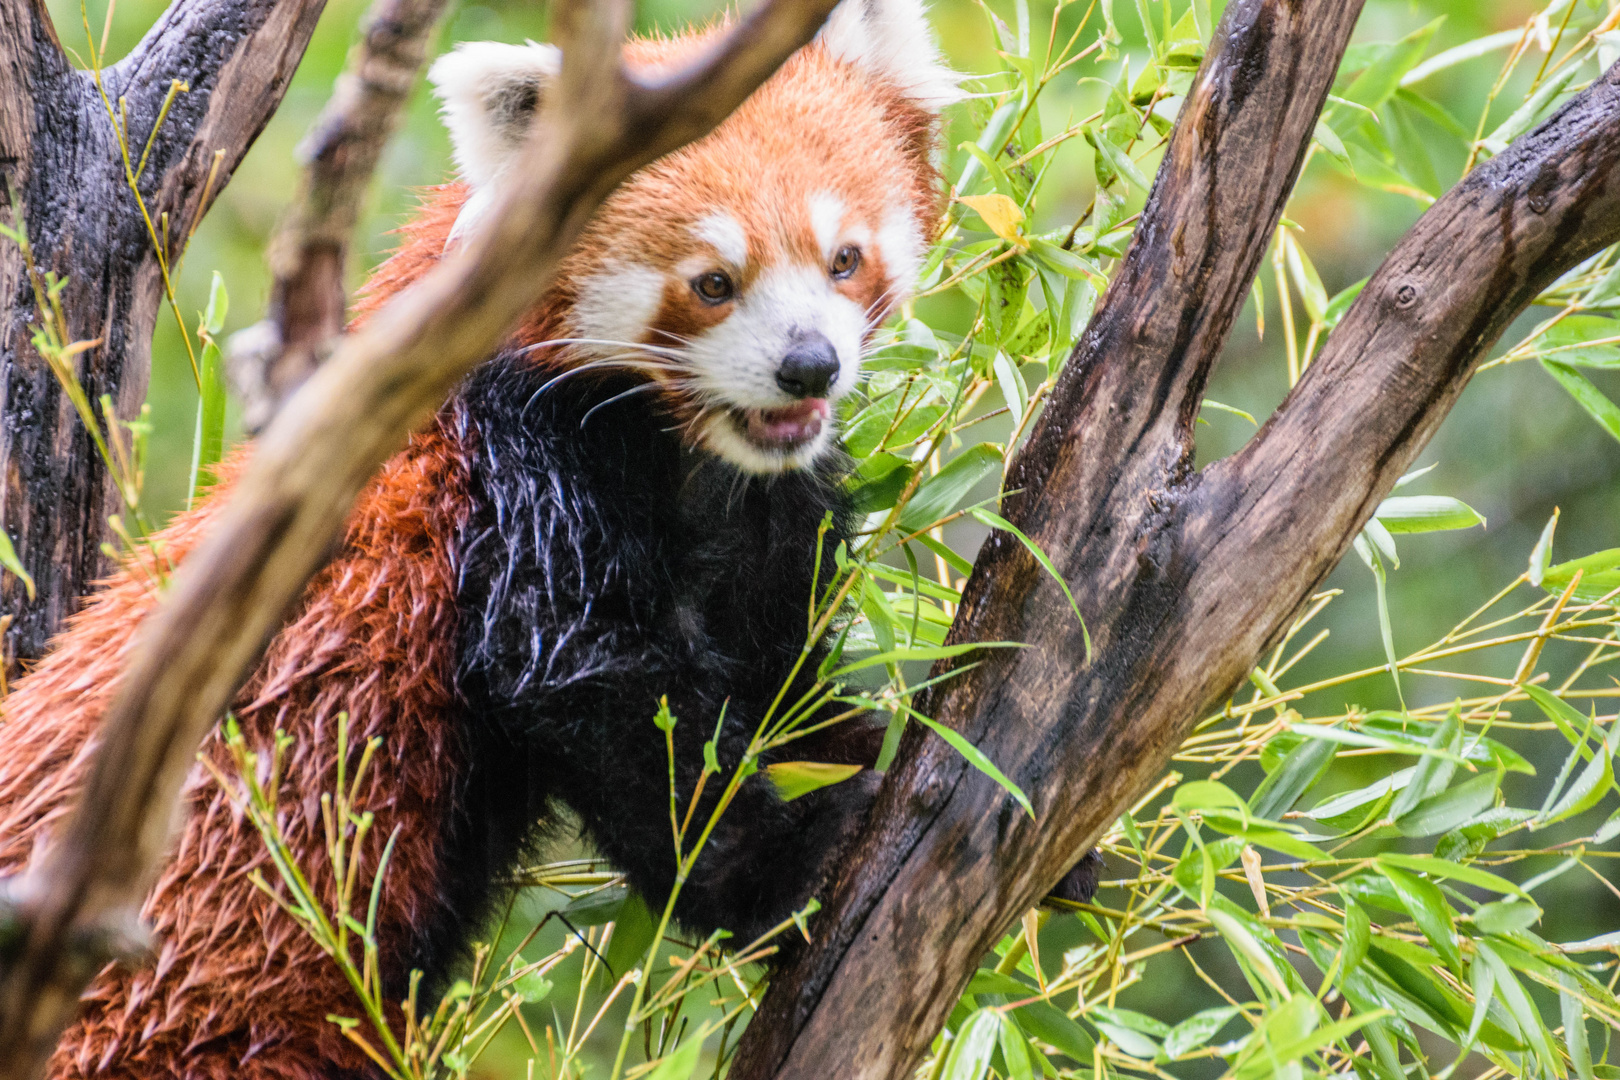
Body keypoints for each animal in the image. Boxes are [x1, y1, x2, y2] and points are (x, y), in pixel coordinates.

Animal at [0, 4, 959, 1075]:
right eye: (713, 282)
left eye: (845, 259)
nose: (808, 367)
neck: (683, 449)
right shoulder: (513, 467)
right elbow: (590, 686)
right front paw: (788, 864)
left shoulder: (756, 520)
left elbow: (782, 678)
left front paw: (887, 752)